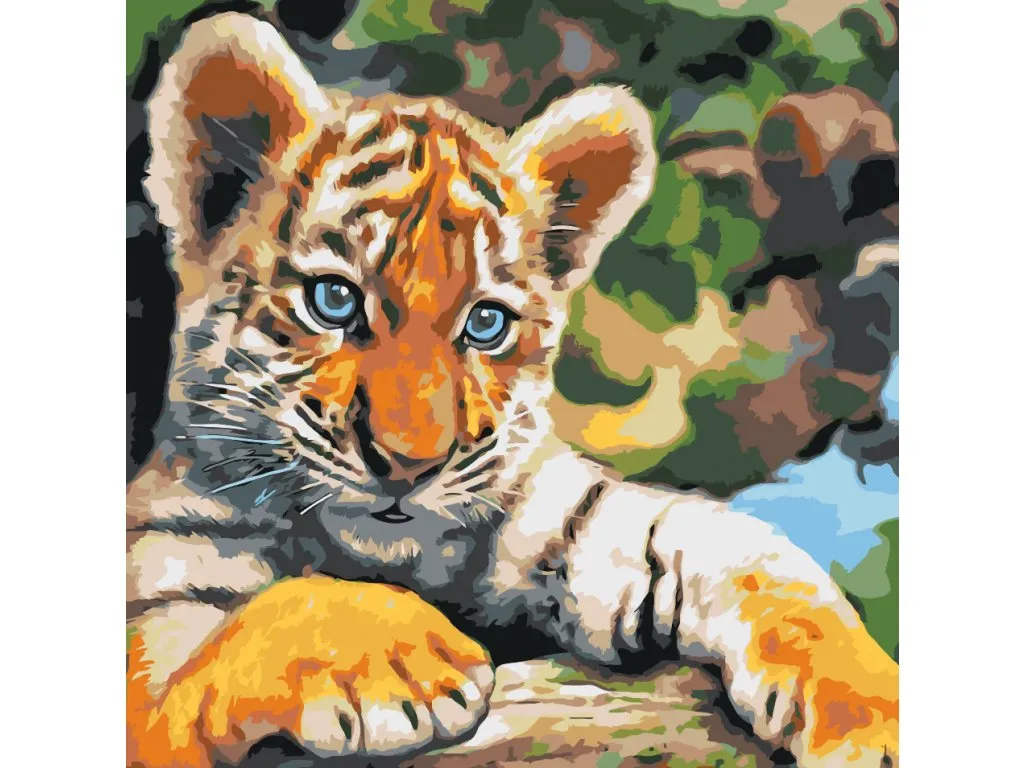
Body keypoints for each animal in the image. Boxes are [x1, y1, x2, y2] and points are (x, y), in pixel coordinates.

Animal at [127, 12, 898, 768]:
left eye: (486, 322)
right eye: (334, 301)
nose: (410, 465)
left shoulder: (572, 515)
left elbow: (749, 553)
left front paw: (872, 714)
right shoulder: (153, 639)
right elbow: (261, 617)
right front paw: (411, 663)